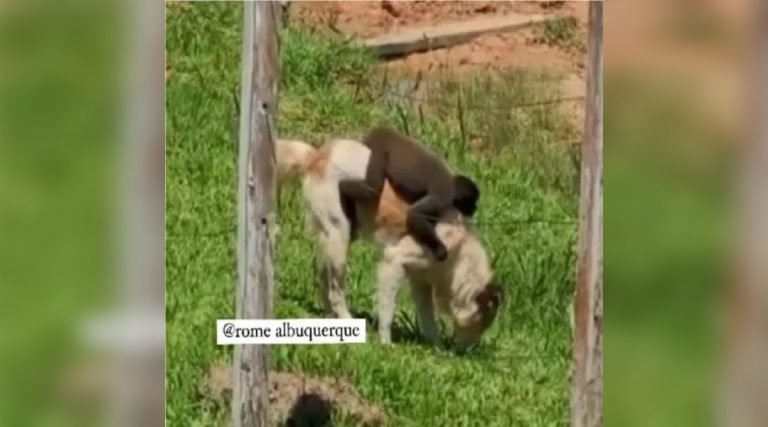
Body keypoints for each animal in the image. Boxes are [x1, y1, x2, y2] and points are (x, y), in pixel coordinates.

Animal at [338, 126, 480, 261]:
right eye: (472, 201)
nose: (474, 208)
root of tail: (383, 130)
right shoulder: (443, 197)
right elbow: (414, 214)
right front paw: (440, 250)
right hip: (379, 145)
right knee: (371, 188)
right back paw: (341, 188)